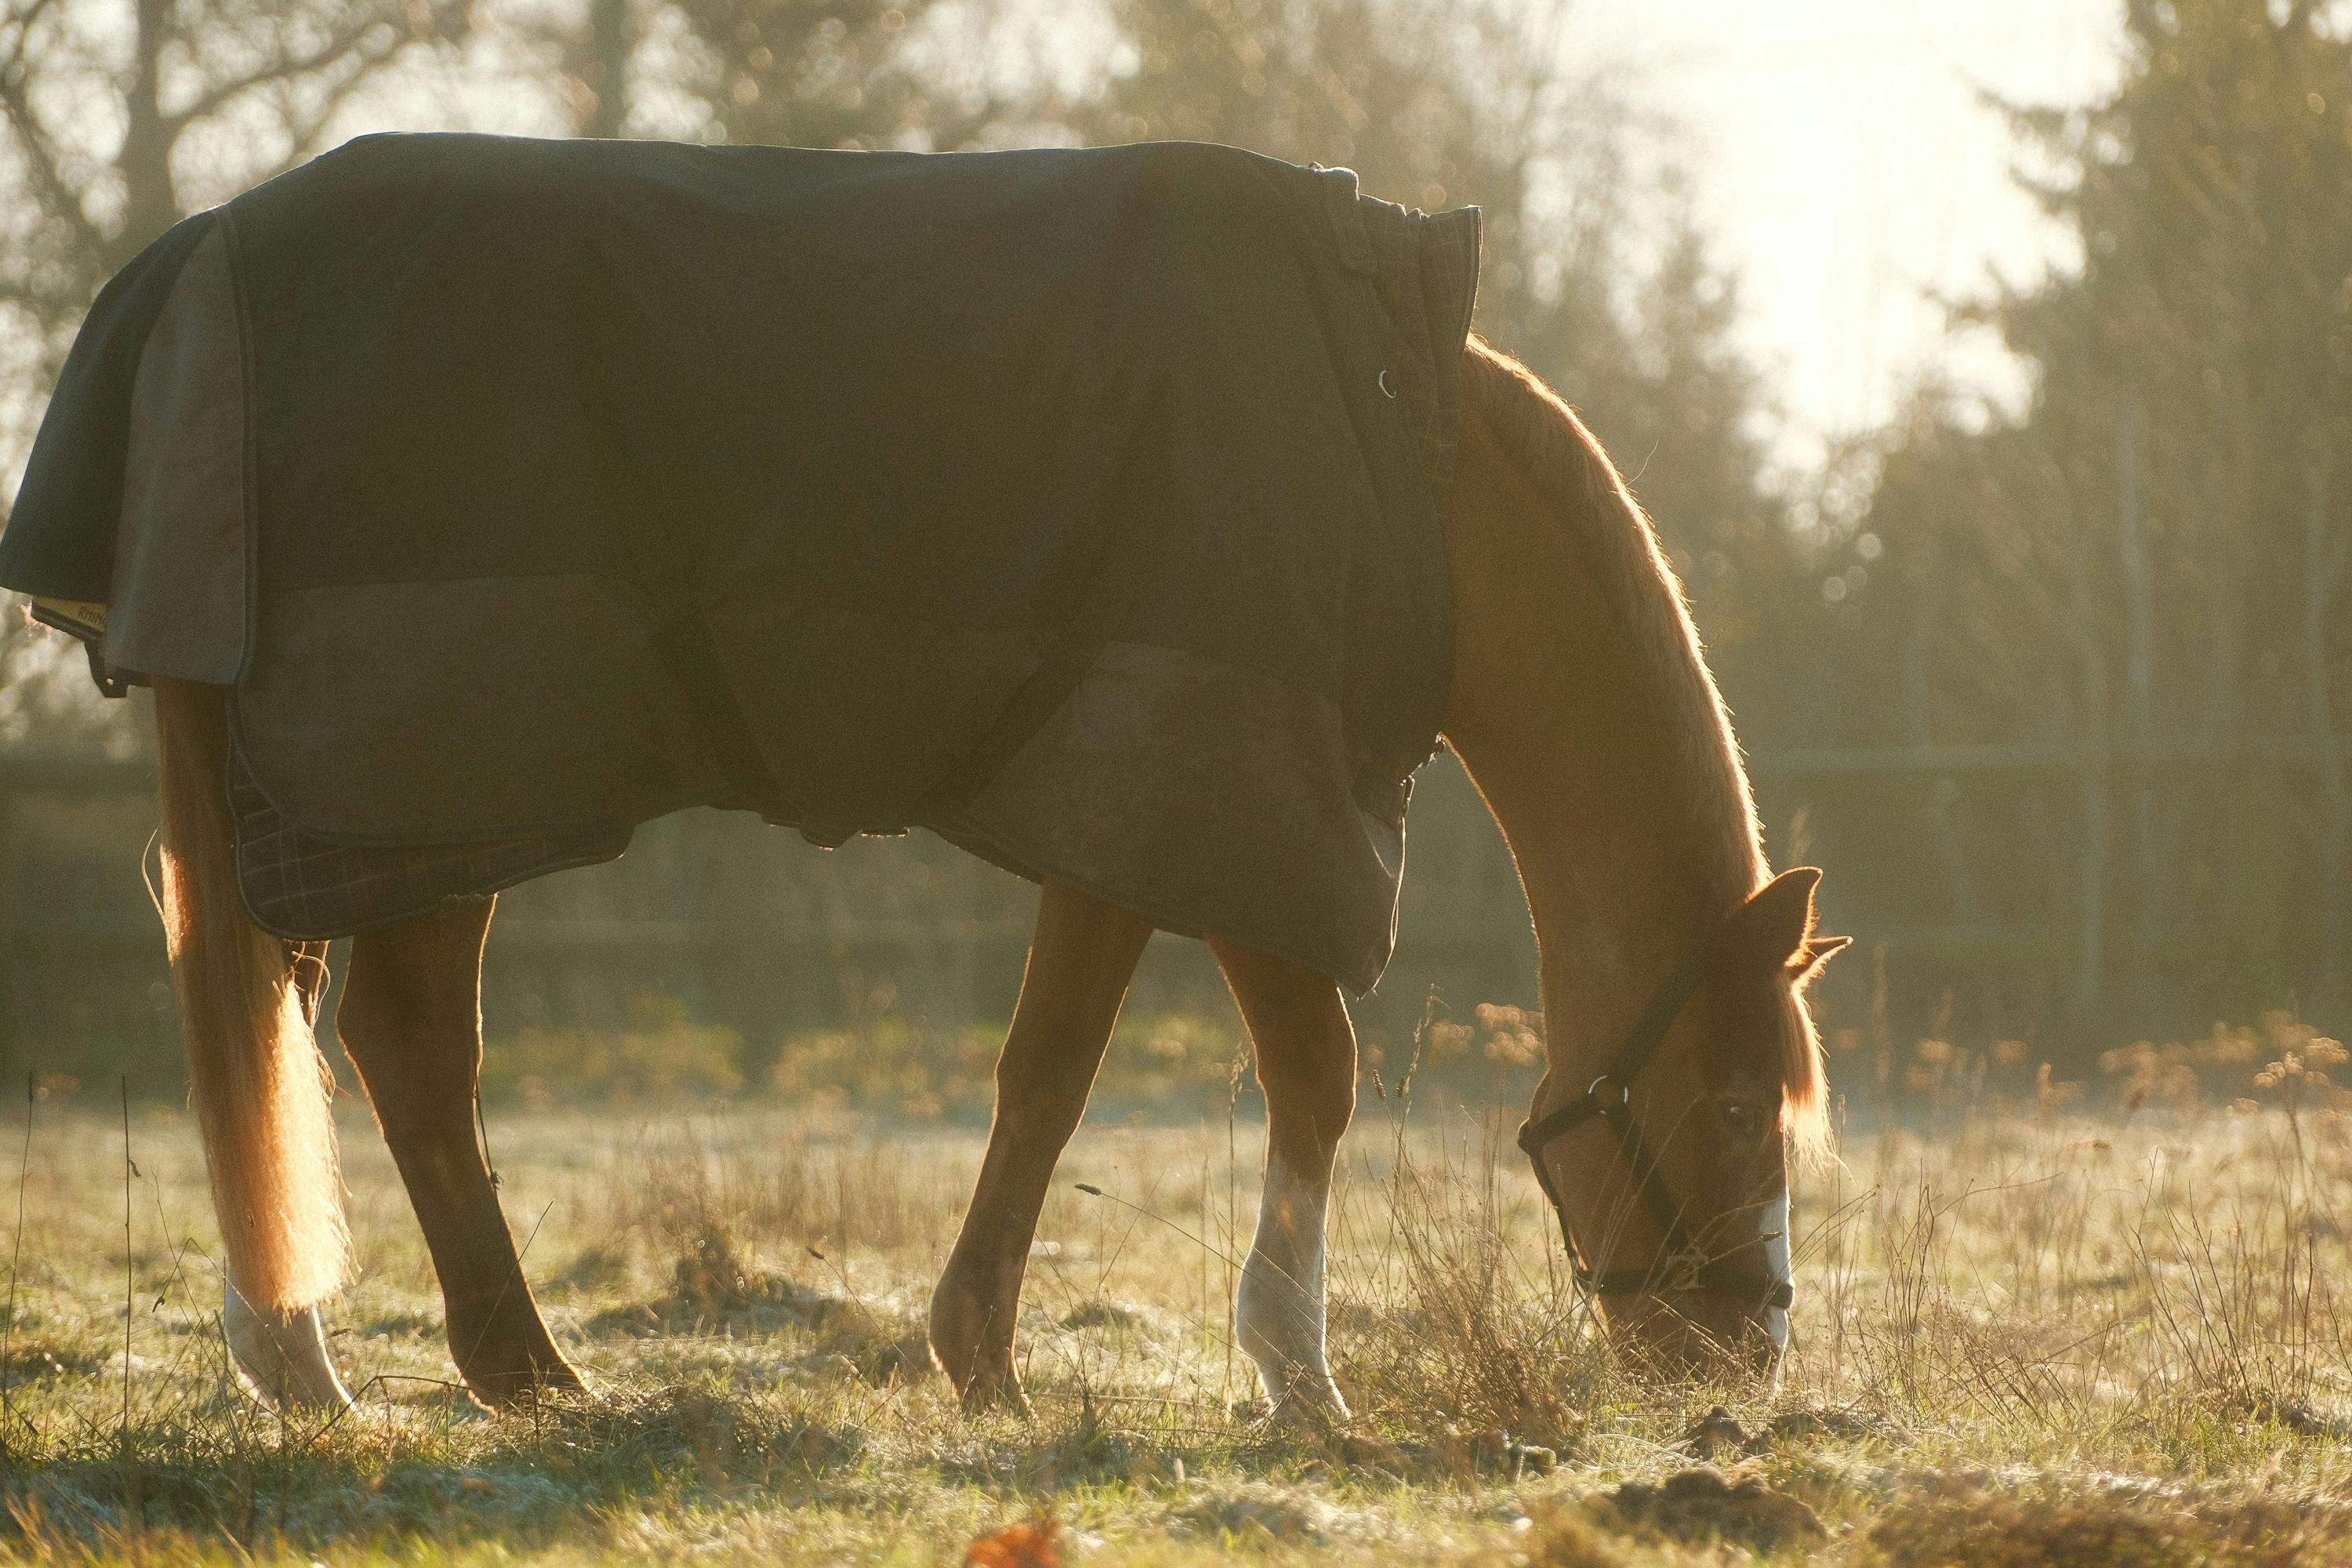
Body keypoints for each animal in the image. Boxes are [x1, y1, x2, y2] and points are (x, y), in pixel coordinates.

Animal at [150, 337, 1841, 1415]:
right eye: (1736, 1107)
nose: (1746, 1366)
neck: (1391, 475)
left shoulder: (1145, 828)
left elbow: (1054, 1074)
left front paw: (983, 1353)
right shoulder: (1225, 805)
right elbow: (1302, 1073)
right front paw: (1292, 1372)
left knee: (290, 1032)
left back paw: (300, 1356)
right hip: (445, 800)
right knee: (406, 1048)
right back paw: (517, 1372)